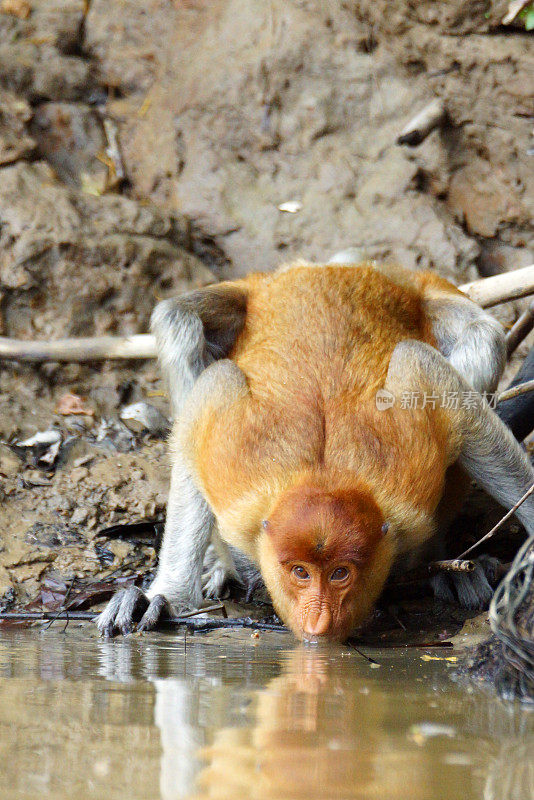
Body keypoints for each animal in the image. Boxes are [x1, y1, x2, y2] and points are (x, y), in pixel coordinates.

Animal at [96, 262, 534, 644]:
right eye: (300, 573)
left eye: (340, 573)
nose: (319, 620)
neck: (323, 475)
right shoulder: (230, 452)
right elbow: (201, 416)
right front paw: (164, 598)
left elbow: (465, 416)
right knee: (179, 319)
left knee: (484, 338)